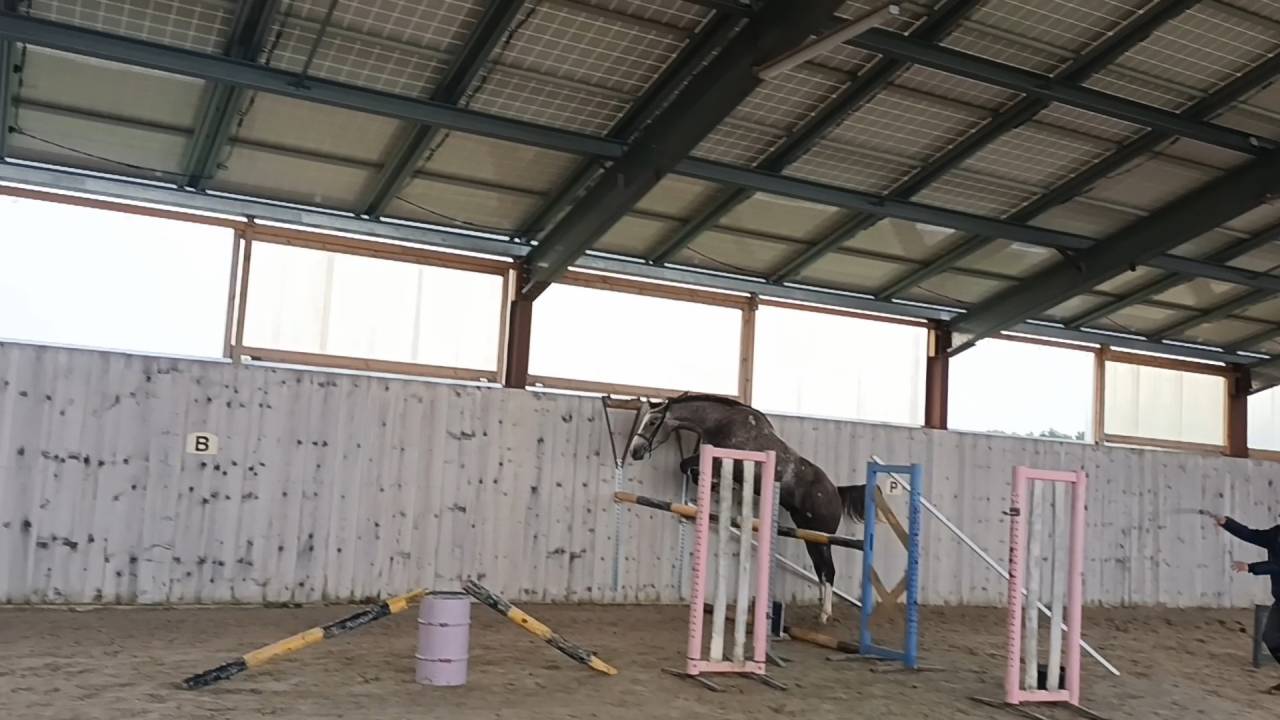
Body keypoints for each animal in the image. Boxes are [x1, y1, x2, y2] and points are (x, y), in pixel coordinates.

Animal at [626, 393, 866, 624]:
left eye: (653, 421)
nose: (635, 451)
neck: (720, 422)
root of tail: (836, 492)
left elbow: (693, 467)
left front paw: (720, 484)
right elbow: (686, 465)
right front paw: (714, 484)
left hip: (821, 536)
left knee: (829, 570)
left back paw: (825, 613)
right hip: (810, 535)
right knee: (820, 569)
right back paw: (820, 606)